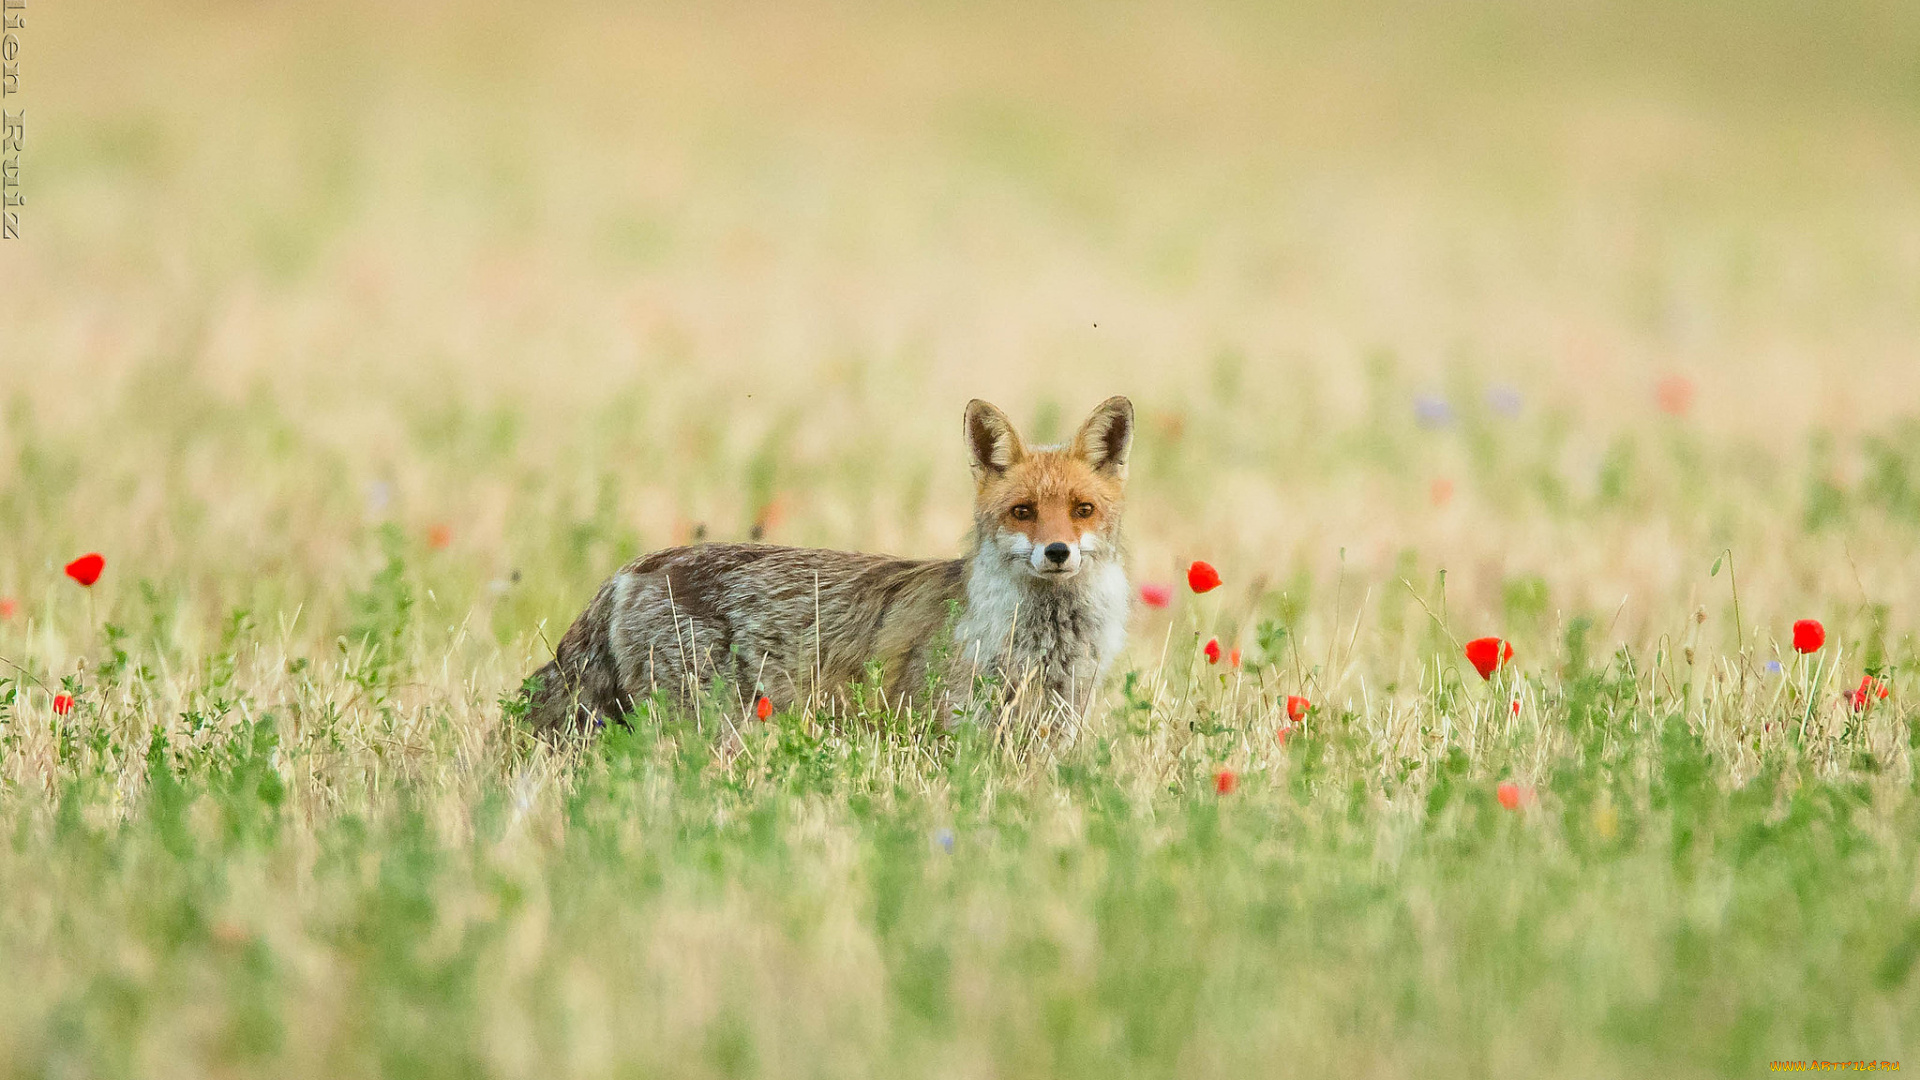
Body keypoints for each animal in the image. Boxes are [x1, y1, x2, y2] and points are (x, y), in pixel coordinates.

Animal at [518, 390, 1128, 734]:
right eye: (1023, 512)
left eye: (1083, 510)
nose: (1057, 552)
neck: (1042, 645)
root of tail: (632, 569)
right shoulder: (945, 728)